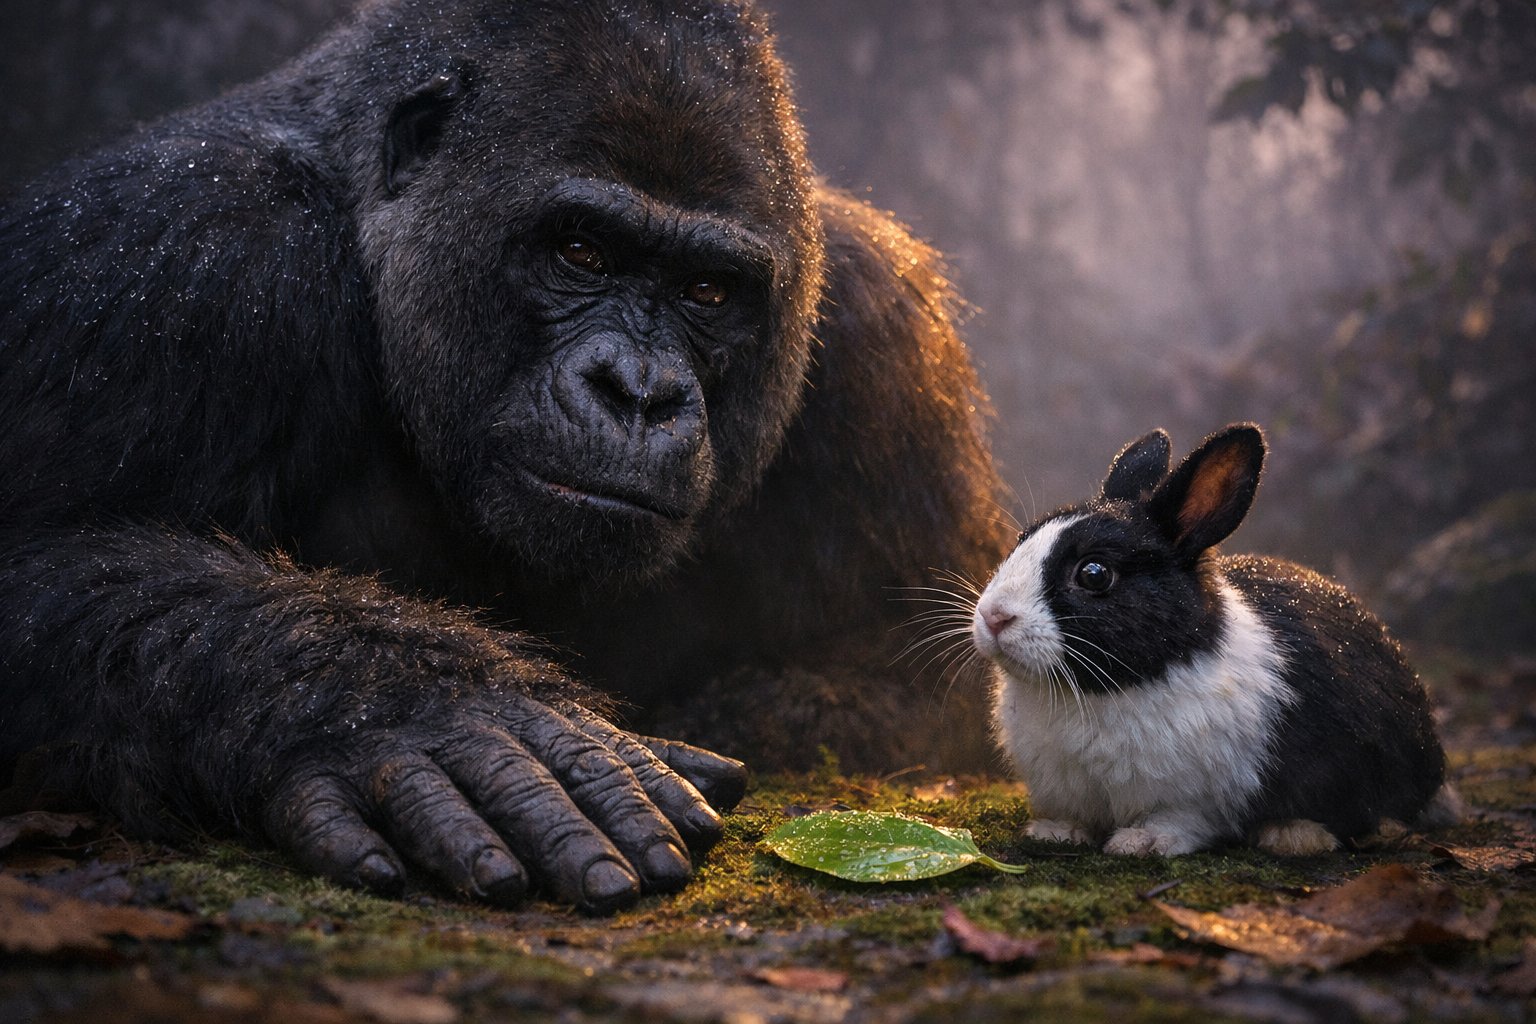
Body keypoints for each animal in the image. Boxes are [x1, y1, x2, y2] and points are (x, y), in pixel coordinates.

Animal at [970, 423, 1461, 857]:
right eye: (1022, 539)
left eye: (1094, 574)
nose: (994, 617)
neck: (1105, 688)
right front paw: (1055, 832)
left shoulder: (1192, 798)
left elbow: (1179, 820)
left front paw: (1141, 843)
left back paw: (1294, 835)